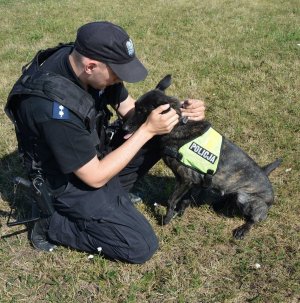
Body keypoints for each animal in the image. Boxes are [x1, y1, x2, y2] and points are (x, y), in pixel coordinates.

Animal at [123, 76, 282, 240]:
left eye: (142, 111)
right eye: (135, 107)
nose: (124, 128)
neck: (177, 124)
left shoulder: (185, 179)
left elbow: (171, 200)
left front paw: (166, 219)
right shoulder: (194, 182)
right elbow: (185, 200)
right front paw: (178, 213)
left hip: (246, 198)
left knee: (255, 219)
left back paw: (243, 228)